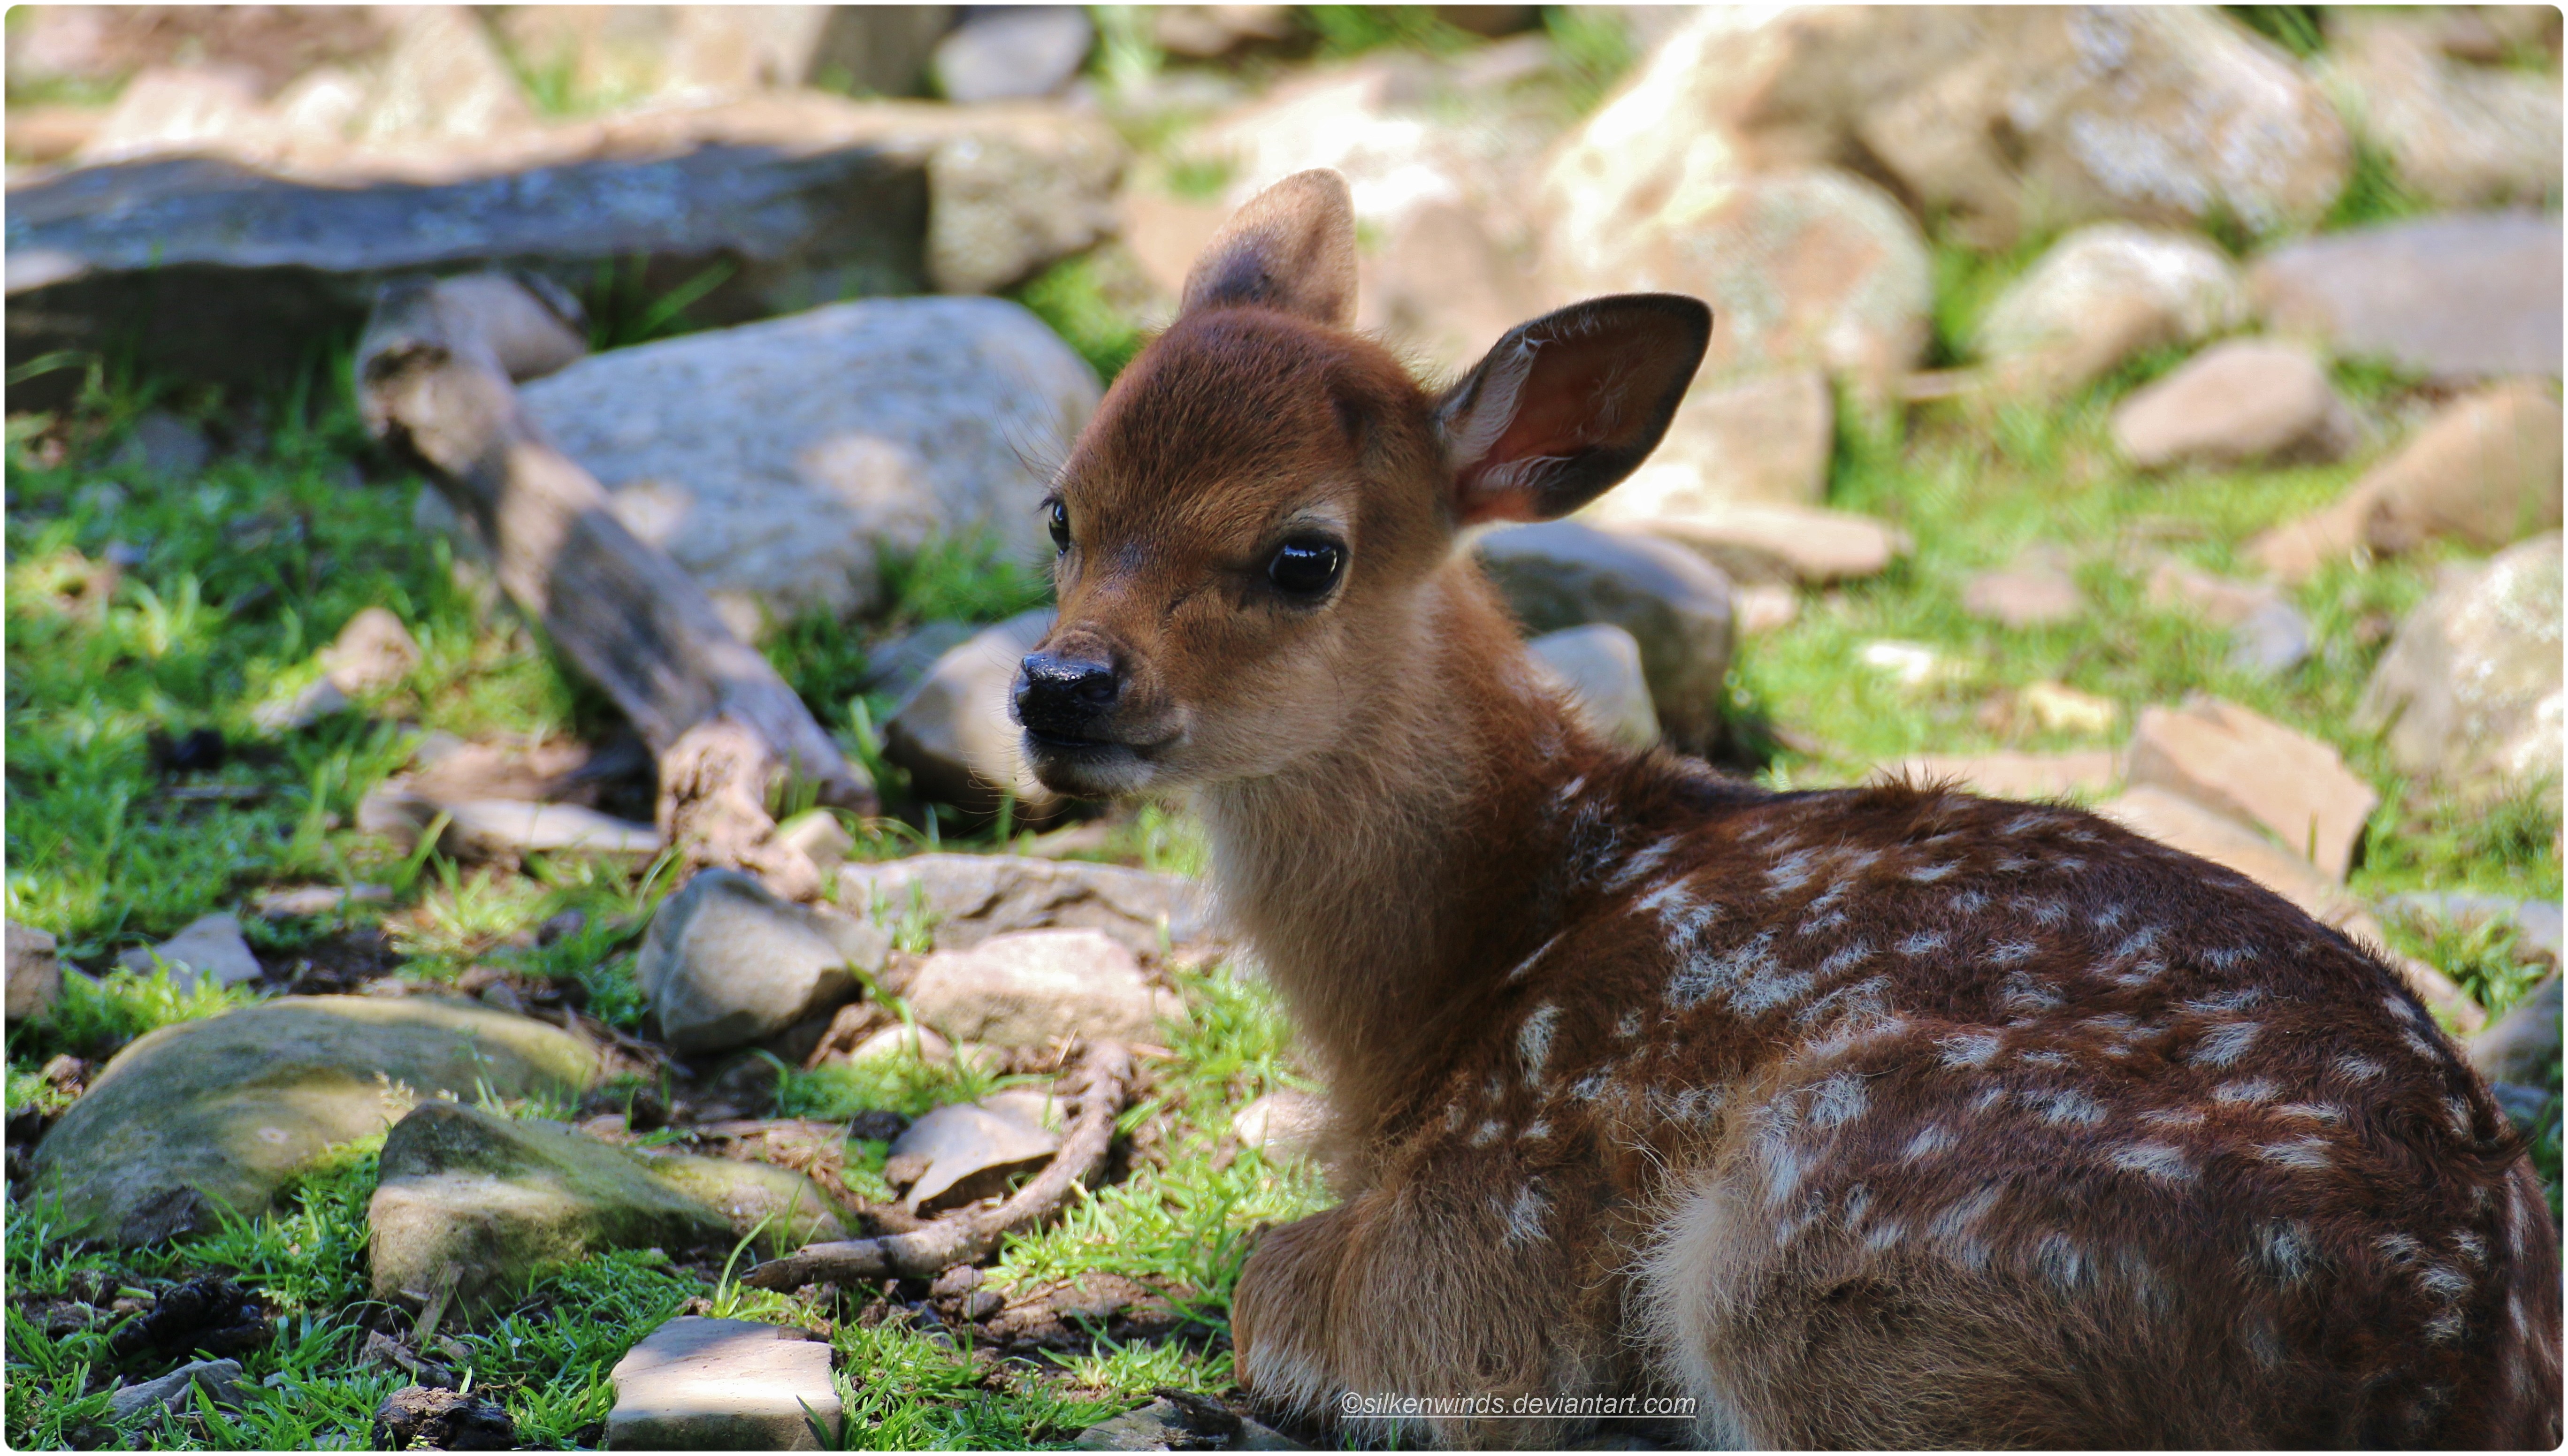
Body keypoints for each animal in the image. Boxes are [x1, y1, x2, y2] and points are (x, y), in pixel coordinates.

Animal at [1011, 170, 2558, 1448]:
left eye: (1302, 554)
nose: (1057, 683)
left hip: (1815, 1232)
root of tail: (2449, 1366)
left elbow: (1276, 1285)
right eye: (1061, 512)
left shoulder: (1487, 1225)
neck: (1457, 979)